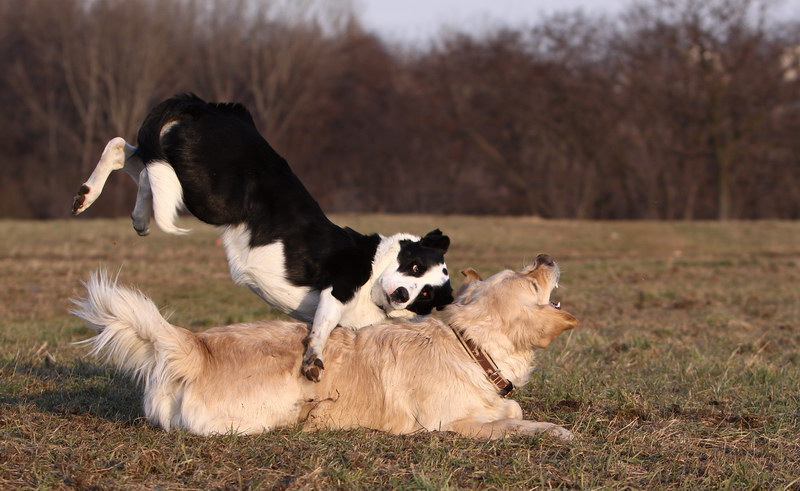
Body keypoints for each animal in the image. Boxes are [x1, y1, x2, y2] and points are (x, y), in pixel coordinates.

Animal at [72, 94, 454, 382]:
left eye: (427, 295)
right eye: (415, 266)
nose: (403, 294)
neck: (374, 274)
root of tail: (209, 106)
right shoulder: (338, 287)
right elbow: (321, 329)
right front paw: (312, 360)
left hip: (183, 171)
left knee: (130, 155)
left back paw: (107, 204)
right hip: (211, 197)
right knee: (138, 162)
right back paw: (106, 201)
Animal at [73, 256, 576, 440]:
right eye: (532, 279)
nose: (546, 257)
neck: (469, 346)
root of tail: (197, 345)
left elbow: (511, 410)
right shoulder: (450, 425)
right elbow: (515, 424)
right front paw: (554, 431)